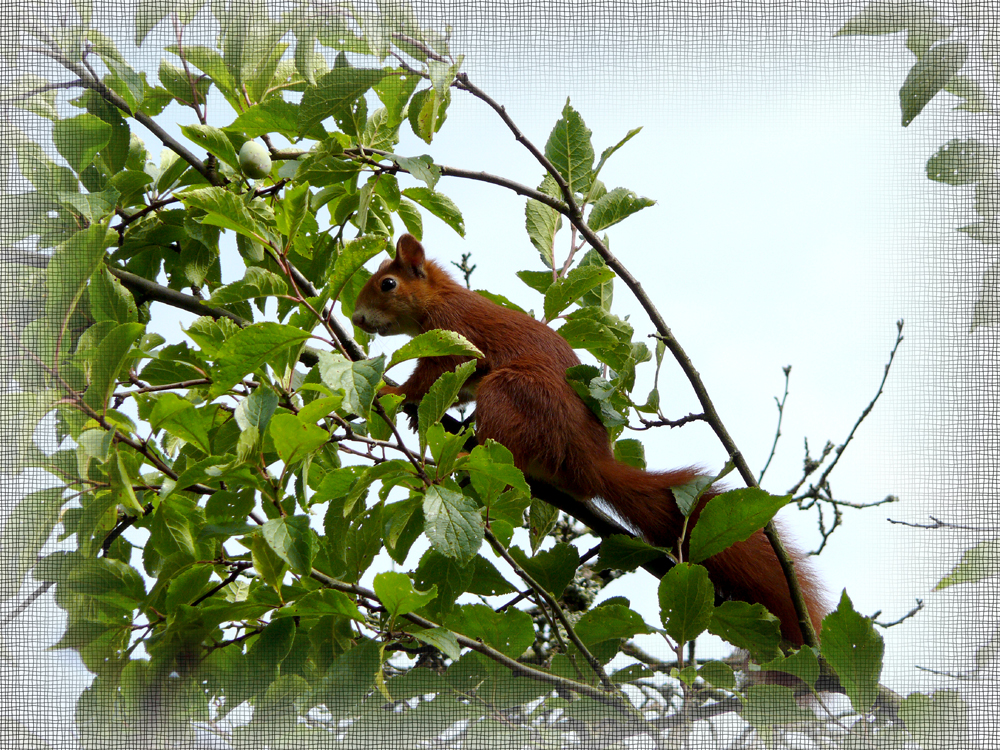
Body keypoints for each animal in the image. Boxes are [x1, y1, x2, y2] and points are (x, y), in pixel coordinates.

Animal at [352, 235, 828, 648]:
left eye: (388, 283)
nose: (356, 318)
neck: (440, 300)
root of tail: (589, 464)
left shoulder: (454, 335)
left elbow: (435, 373)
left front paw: (395, 393)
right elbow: (454, 389)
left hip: (510, 394)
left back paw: (474, 451)